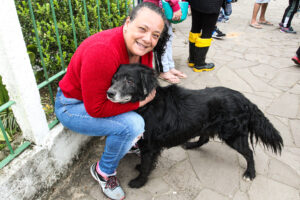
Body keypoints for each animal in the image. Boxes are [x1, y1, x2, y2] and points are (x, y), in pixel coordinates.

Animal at [108, 63, 284, 188]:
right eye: (114, 79)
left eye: (130, 81)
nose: (109, 93)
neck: (147, 104)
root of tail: (245, 100)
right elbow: (146, 163)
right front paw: (140, 169)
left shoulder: (149, 146)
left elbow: (146, 165)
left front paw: (139, 182)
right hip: (206, 126)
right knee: (204, 139)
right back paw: (191, 145)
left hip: (232, 135)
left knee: (249, 153)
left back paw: (250, 173)